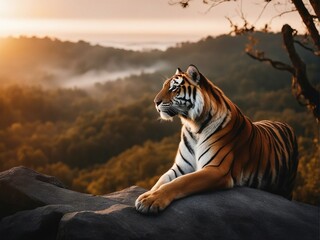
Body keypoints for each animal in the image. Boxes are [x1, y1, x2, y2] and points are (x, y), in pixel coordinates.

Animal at [134, 64, 298, 214]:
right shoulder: (180, 167)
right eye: (164, 87)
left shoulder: (216, 169)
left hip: (287, 185)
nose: (155, 102)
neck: (194, 126)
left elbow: (179, 182)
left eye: (174, 88)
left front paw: (151, 200)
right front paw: (147, 194)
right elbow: (161, 181)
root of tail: (282, 122)